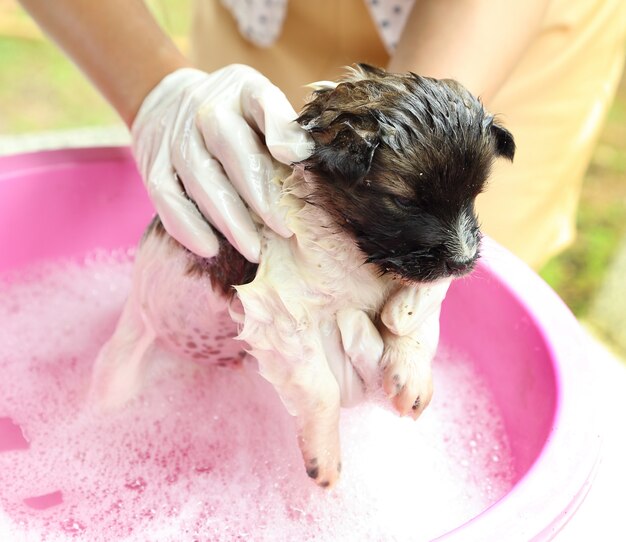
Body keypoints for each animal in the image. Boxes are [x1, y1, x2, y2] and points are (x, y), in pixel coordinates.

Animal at [91, 63, 512, 488]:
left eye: (474, 194)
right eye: (404, 202)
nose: (463, 261)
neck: (347, 245)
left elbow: (410, 321)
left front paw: (412, 374)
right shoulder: (280, 313)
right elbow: (322, 389)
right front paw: (324, 457)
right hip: (127, 351)